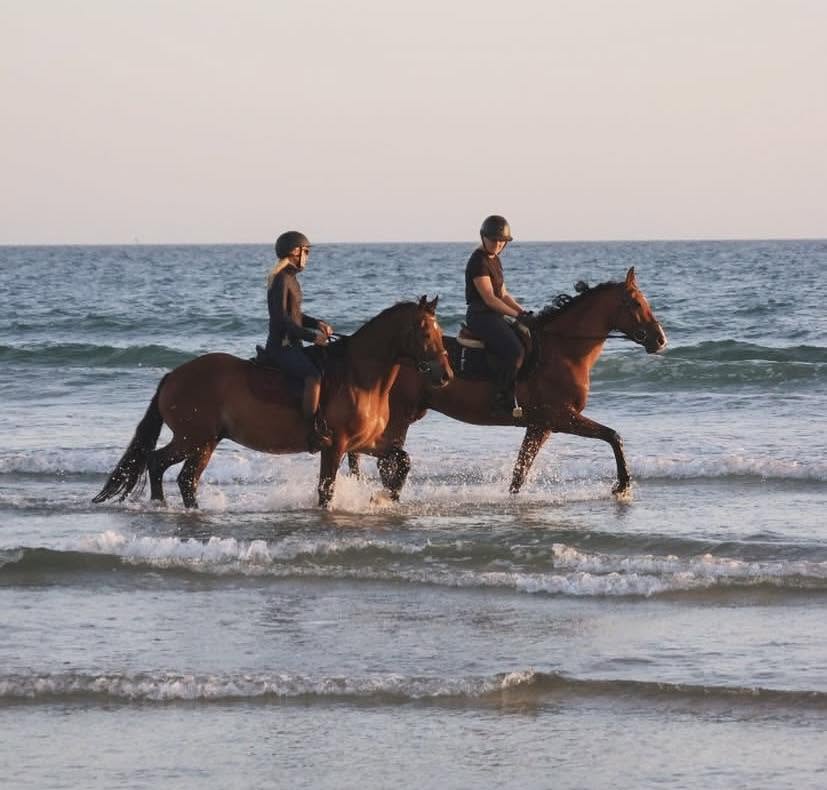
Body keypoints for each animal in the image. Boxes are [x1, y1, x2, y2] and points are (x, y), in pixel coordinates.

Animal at [92, 296, 452, 509]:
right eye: (424, 331)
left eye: (440, 331)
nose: (446, 375)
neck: (361, 377)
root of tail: (172, 376)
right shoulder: (335, 445)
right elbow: (326, 489)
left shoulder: (365, 442)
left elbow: (402, 461)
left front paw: (383, 496)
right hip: (193, 438)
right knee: (160, 464)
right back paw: (163, 507)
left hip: (204, 441)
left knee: (181, 477)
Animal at [348, 268, 667, 499]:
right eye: (636, 303)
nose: (660, 339)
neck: (562, 351)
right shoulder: (561, 417)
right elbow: (613, 436)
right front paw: (622, 486)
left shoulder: (540, 426)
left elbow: (520, 472)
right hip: (400, 416)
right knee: (383, 460)